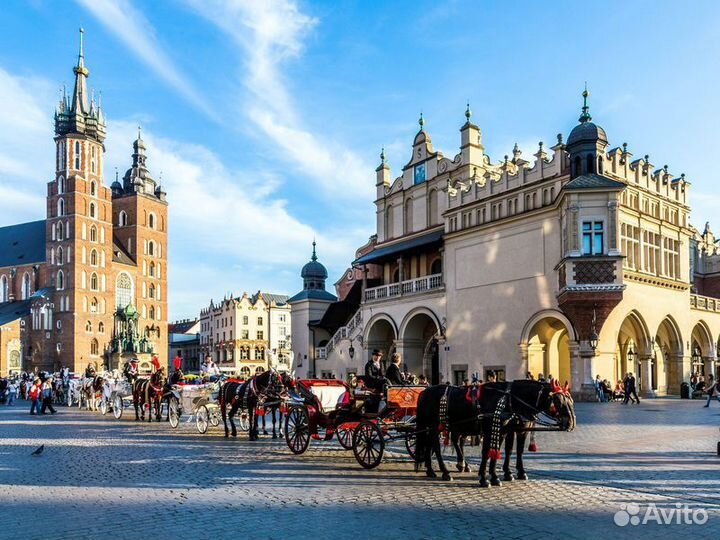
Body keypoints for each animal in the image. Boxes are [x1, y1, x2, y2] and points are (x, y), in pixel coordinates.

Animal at [414, 380, 576, 486]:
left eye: (571, 400)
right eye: (558, 402)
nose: (571, 423)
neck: (508, 400)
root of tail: (424, 392)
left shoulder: (508, 430)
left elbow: (508, 451)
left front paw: (498, 476)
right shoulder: (494, 429)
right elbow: (489, 452)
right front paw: (486, 478)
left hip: (439, 426)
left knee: (434, 444)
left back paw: (433, 470)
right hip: (434, 425)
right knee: (436, 446)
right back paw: (446, 472)